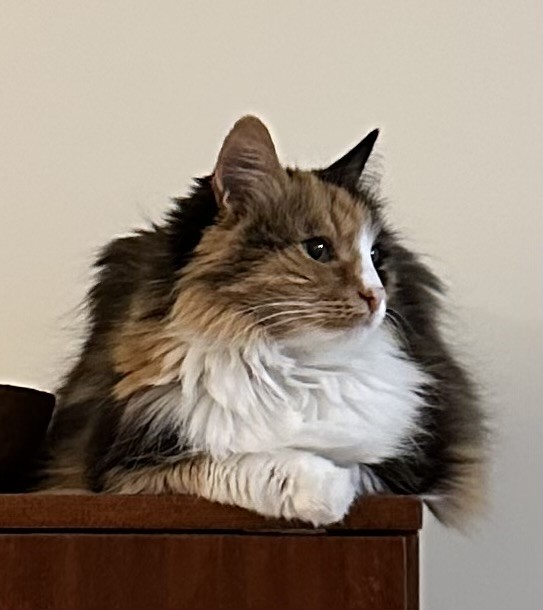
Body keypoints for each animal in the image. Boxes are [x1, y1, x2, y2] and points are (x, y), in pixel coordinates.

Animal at [40, 116, 486, 524]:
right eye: (318, 249)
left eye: (375, 257)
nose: (377, 297)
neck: (289, 359)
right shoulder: (125, 465)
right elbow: (236, 462)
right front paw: (325, 490)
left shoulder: (415, 466)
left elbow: (360, 464)